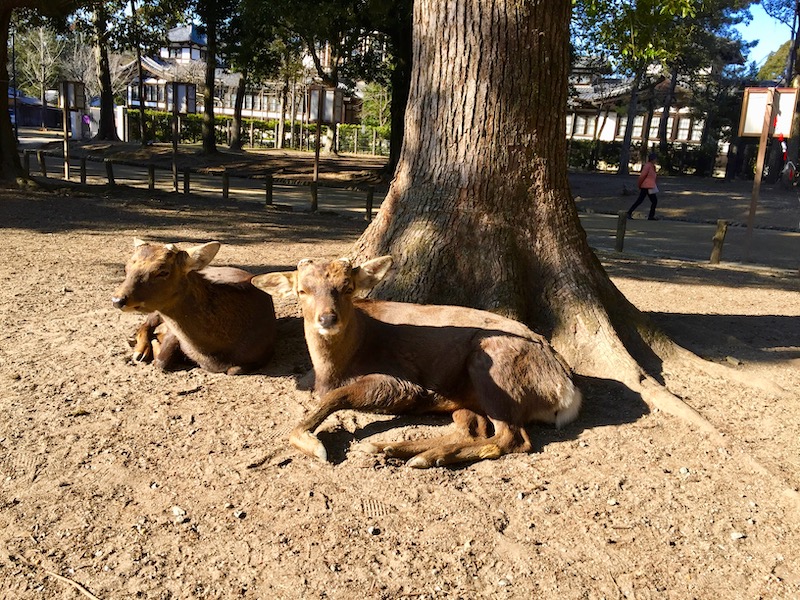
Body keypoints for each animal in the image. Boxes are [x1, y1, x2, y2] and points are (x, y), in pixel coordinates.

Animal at [111, 240, 276, 376]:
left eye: (163, 271)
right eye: (126, 268)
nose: (117, 299)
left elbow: (234, 370)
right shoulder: (173, 334)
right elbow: (160, 362)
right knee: (145, 324)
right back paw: (141, 351)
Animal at [252, 255, 580, 466]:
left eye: (348, 287)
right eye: (302, 290)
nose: (327, 318)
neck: (332, 369)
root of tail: (566, 390)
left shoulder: (402, 381)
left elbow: (334, 397)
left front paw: (317, 447)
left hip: (494, 369)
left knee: (513, 438)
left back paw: (420, 455)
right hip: (472, 395)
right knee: (474, 430)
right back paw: (391, 449)